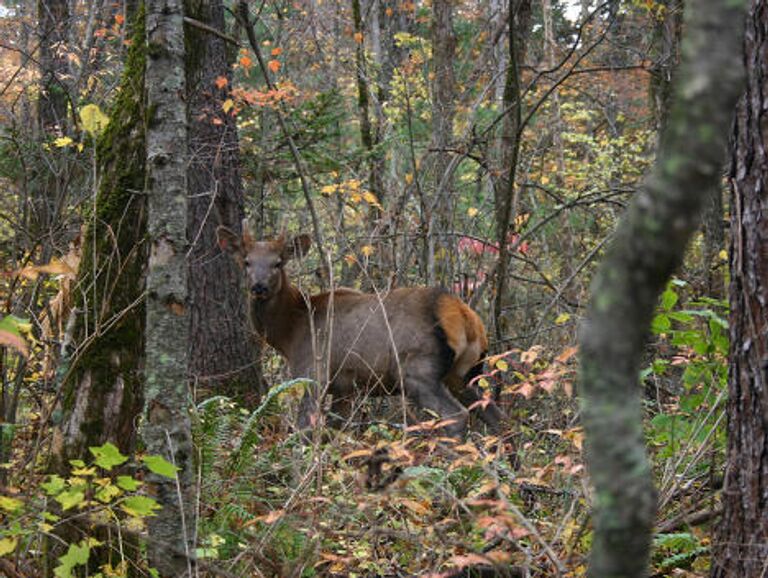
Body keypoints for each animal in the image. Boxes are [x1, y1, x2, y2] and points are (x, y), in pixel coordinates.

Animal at [218, 227, 504, 434]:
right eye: (246, 261)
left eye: (278, 263)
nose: (259, 287)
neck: (291, 331)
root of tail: (465, 317)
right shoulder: (346, 388)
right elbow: (336, 429)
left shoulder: (313, 370)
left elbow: (304, 428)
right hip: (464, 373)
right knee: (495, 414)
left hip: (418, 370)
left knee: (456, 416)